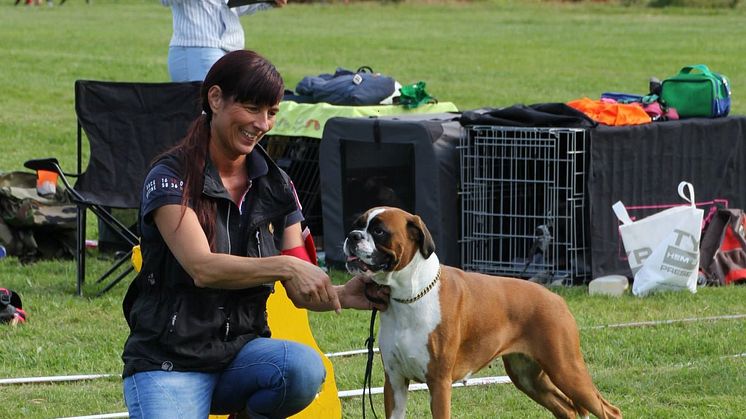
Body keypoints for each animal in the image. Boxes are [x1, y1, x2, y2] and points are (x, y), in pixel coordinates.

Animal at [344, 208, 620, 419]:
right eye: (358, 224)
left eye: (379, 231)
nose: (352, 235)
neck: (409, 295)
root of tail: (555, 297)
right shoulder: (395, 382)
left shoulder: (439, 383)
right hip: (528, 377)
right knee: (567, 410)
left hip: (566, 370)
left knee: (609, 411)